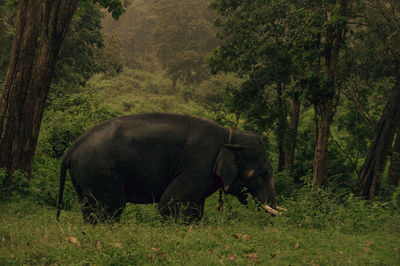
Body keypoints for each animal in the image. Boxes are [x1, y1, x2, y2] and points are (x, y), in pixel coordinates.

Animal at [56, 111, 282, 223]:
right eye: (263, 173)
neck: (231, 135)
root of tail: (70, 149)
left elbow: (195, 209)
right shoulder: (198, 165)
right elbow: (169, 205)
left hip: (85, 176)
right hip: (100, 171)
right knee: (109, 209)